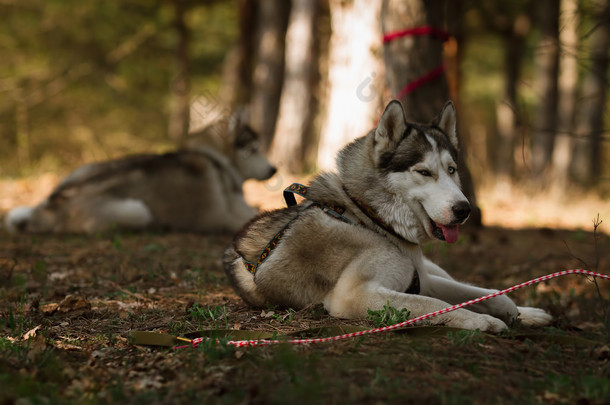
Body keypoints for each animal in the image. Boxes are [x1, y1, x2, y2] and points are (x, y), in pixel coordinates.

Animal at [4, 113, 276, 234]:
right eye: (253, 149)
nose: (274, 169)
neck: (216, 157)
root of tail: (57, 201)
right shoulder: (228, 216)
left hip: (82, 169)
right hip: (138, 211)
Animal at [224, 98, 552, 332]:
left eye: (451, 170)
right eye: (424, 172)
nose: (464, 209)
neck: (371, 219)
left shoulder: (419, 278)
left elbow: (494, 295)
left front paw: (514, 312)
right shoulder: (355, 295)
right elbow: (433, 303)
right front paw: (480, 321)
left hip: (430, 269)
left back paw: (531, 314)